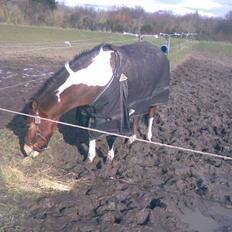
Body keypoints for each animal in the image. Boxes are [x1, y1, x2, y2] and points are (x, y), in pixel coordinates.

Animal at [24, 42, 170, 161]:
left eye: (29, 125)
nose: (26, 150)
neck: (98, 77)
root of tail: (159, 51)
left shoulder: (114, 115)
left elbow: (110, 136)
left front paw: (110, 157)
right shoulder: (92, 112)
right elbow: (91, 133)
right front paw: (90, 156)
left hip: (155, 98)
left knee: (150, 116)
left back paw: (149, 137)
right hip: (138, 101)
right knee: (137, 117)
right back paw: (132, 138)